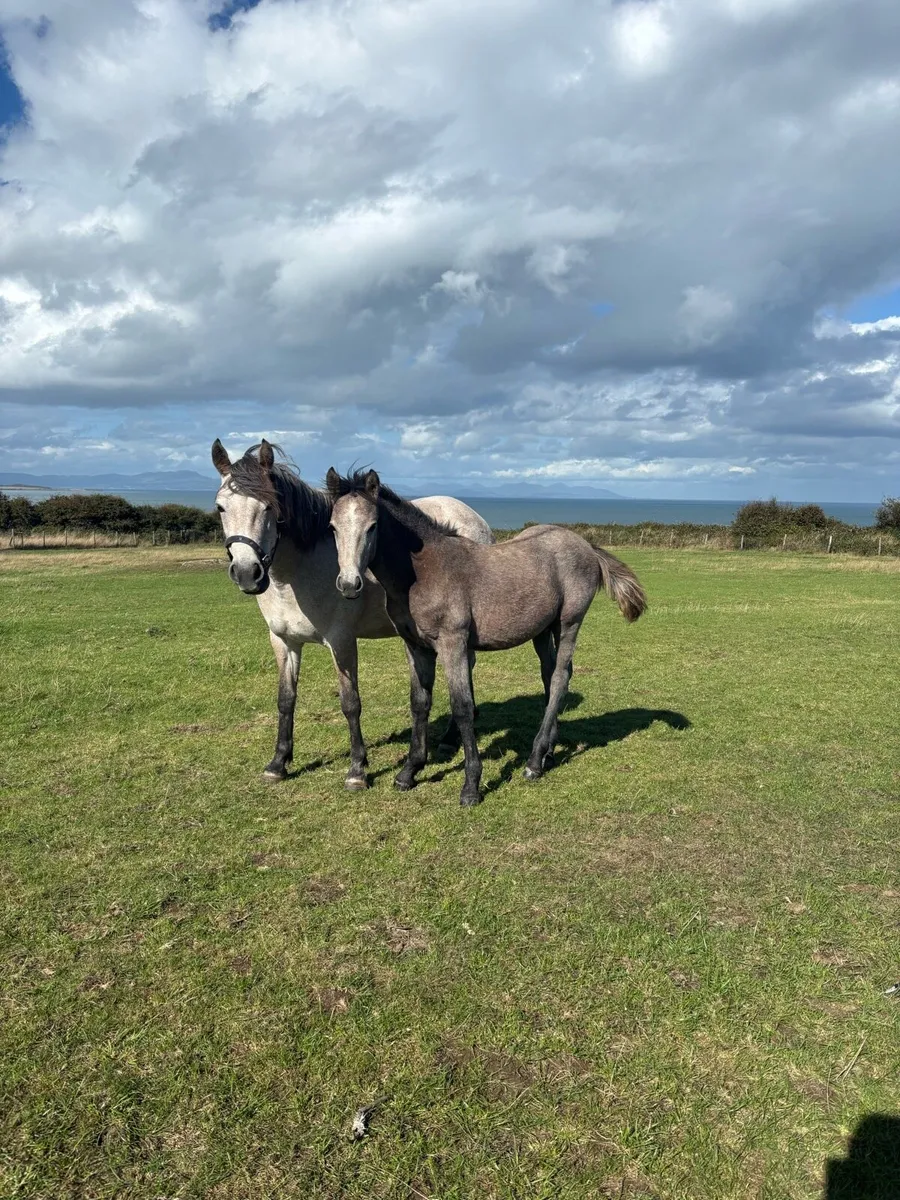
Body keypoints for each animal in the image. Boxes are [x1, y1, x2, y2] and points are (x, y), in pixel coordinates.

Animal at [211, 440, 494, 789]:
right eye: (221, 508)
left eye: (268, 507)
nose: (247, 573)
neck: (298, 572)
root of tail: (475, 519)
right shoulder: (283, 641)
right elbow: (286, 699)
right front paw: (278, 763)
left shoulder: (342, 641)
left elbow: (350, 703)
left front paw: (357, 769)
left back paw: (451, 737)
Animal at [325, 467, 646, 806]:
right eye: (332, 527)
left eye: (372, 526)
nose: (349, 584)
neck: (424, 572)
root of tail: (585, 545)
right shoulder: (416, 646)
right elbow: (420, 703)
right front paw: (409, 772)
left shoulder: (453, 642)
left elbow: (463, 708)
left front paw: (471, 786)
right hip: (542, 631)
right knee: (552, 676)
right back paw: (547, 751)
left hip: (568, 623)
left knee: (560, 678)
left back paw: (533, 763)